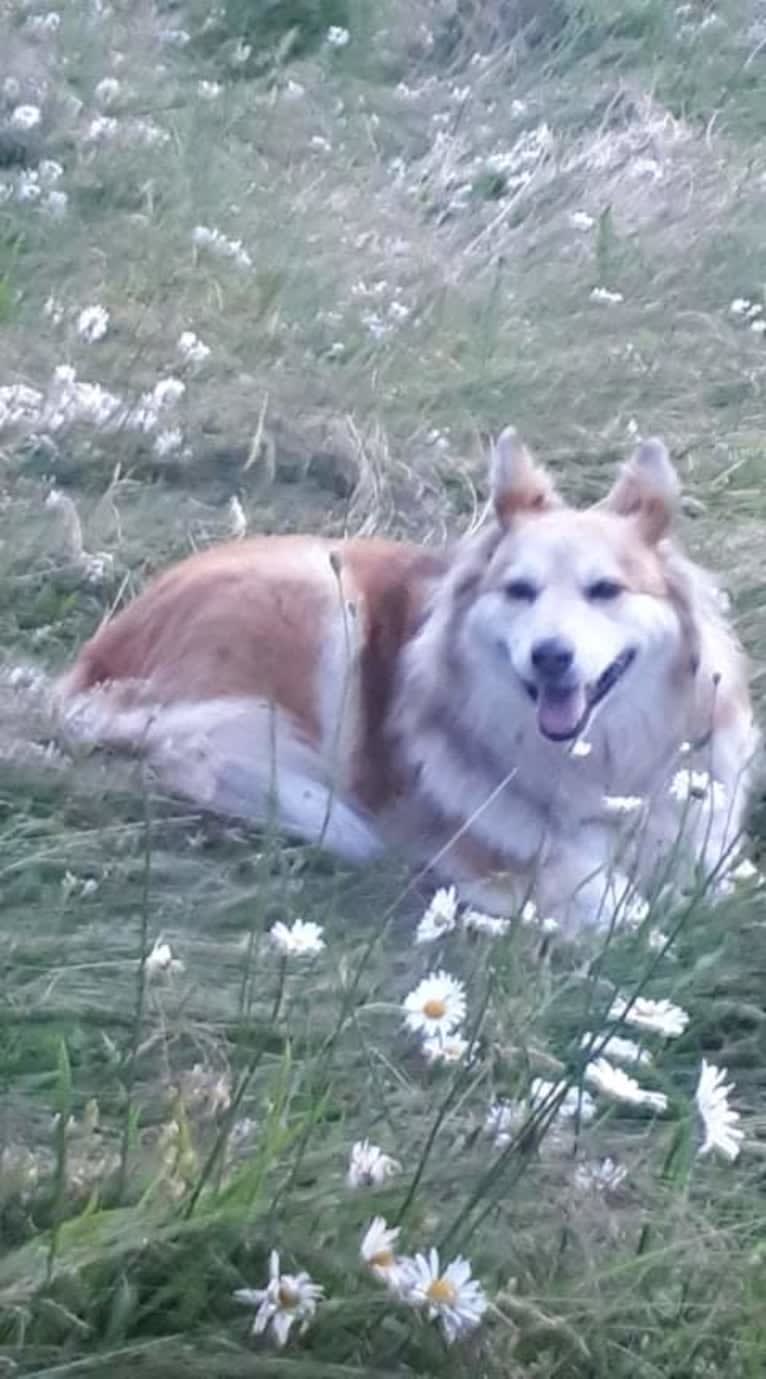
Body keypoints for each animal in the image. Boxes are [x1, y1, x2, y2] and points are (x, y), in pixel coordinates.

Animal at [56, 427, 756, 926]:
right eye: (520, 590)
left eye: (605, 590)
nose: (550, 656)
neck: (603, 770)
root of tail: (94, 664)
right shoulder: (495, 851)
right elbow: (608, 903)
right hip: (321, 597)